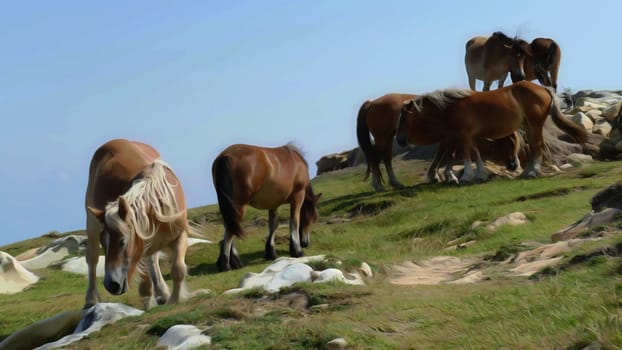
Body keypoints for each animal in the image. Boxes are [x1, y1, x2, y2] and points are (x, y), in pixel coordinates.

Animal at [84, 139, 190, 308]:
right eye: (104, 244)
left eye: (122, 241)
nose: (111, 285)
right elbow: (146, 283)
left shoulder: (179, 235)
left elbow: (178, 269)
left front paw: (174, 300)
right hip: (92, 223)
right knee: (92, 258)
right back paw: (91, 299)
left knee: (153, 260)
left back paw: (162, 293)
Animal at [213, 144, 322, 272]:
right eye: (310, 219)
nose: (305, 243)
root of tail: (226, 155)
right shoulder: (298, 196)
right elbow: (294, 221)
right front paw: (297, 251)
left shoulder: (273, 203)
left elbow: (273, 225)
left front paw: (271, 252)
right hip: (238, 206)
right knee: (230, 231)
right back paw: (225, 264)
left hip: (228, 205)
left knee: (229, 226)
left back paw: (233, 261)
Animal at [398, 80, 588, 182]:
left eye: (404, 118)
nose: (400, 140)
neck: (453, 106)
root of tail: (543, 88)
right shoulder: (469, 136)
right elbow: (475, 153)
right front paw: (480, 174)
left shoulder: (463, 135)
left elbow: (466, 154)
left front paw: (466, 176)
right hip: (528, 126)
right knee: (535, 147)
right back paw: (526, 172)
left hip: (535, 124)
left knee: (538, 146)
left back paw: (533, 172)